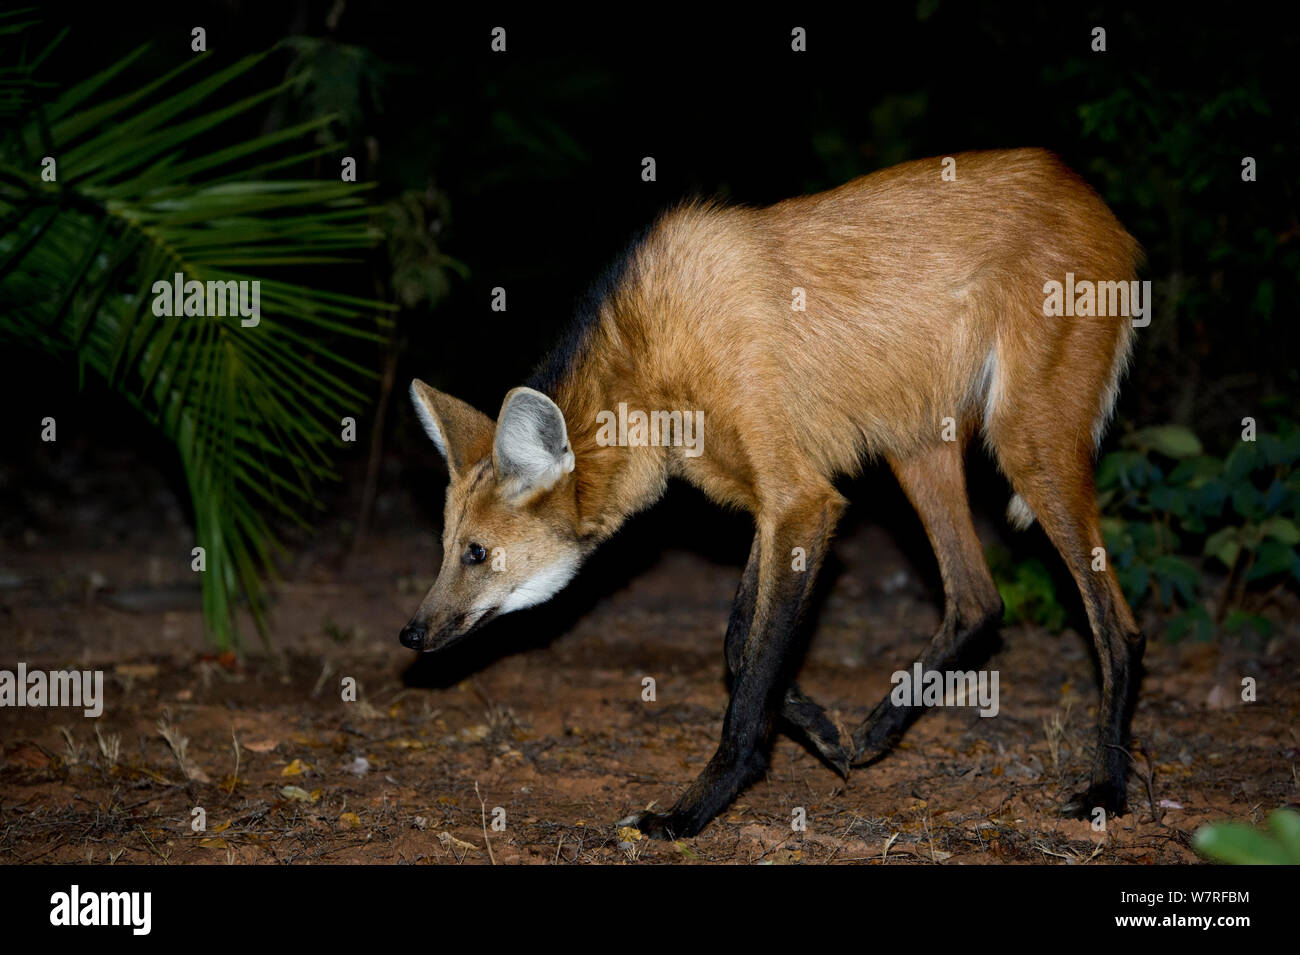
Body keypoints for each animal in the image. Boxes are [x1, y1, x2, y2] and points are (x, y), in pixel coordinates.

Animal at [400, 147, 1144, 836]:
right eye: (444, 548)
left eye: (475, 553)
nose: (411, 632)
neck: (655, 362)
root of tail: (1090, 198)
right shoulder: (775, 504)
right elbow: (741, 645)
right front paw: (820, 729)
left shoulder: (801, 500)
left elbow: (752, 673)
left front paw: (693, 808)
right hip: (915, 444)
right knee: (978, 601)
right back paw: (877, 731)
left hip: (1026, 447)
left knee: (1119, 627)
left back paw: (1106, 788)